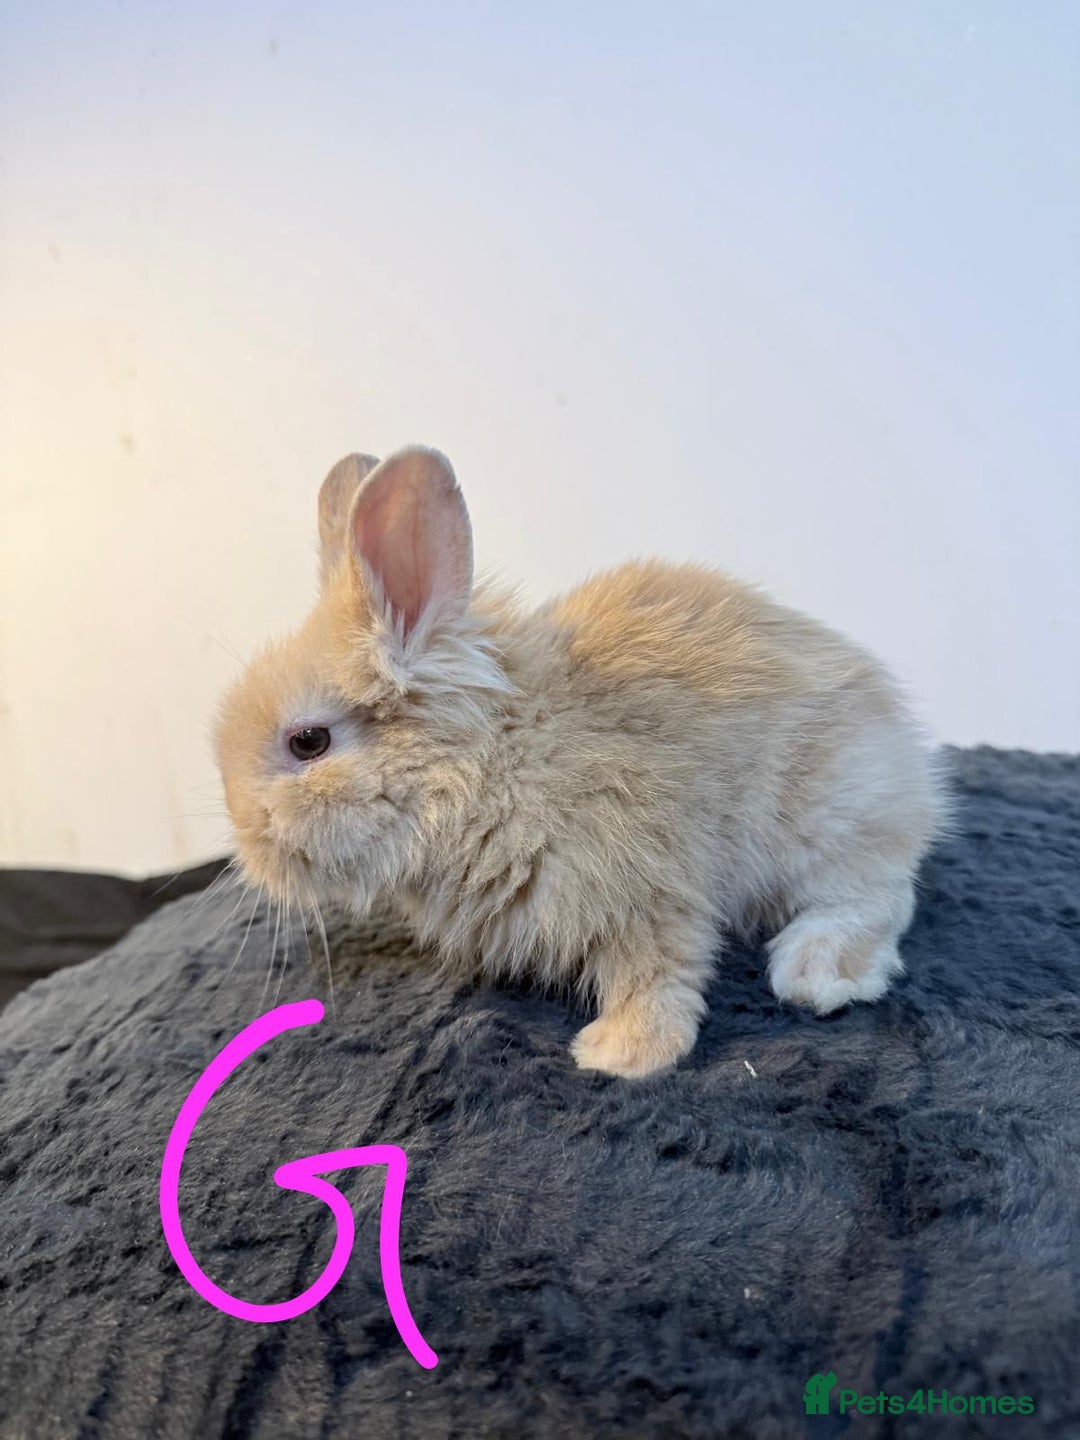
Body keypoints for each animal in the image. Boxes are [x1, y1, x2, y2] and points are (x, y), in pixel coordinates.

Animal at [215, 445, 945, 1078]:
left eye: (309, 742)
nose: (248, 848)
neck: (486, 765)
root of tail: (909, 767)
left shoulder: (647, 889)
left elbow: (657, 973)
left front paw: (619, 1055)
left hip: (830, 816)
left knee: (881, 896)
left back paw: (815, 973)